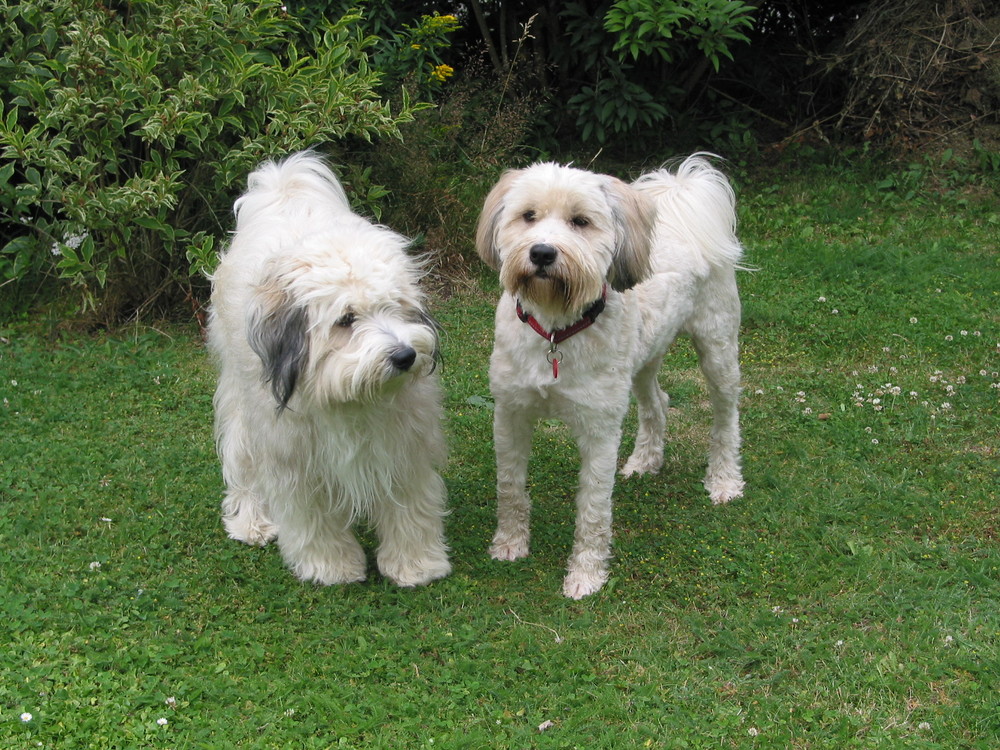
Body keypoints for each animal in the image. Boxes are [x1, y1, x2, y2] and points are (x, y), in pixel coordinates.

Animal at [209, 151, 452, 588]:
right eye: (346, 319)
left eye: (396, 307)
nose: (405, 356)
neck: (345, 396)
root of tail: (282, 186)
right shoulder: (293, 456)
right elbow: (313, 518)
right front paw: (330, 565)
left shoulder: (404, 442)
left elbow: (410, 503)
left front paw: (416, 563)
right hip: (241, 396)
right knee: (240, 453)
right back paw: (251, 518)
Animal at [474, 156, 744, 604]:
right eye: (528, 216)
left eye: (580, 221)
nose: (542, 252)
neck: (555, 331)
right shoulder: (509, 413)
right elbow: (510, 486)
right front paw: (509, 544)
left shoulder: (600, 429)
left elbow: (593, 507)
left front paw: (586, 574)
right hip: (644, 356)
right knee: (658, 402)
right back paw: (645, 460)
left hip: (717, 347)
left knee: (726, 418)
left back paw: (724, 480)